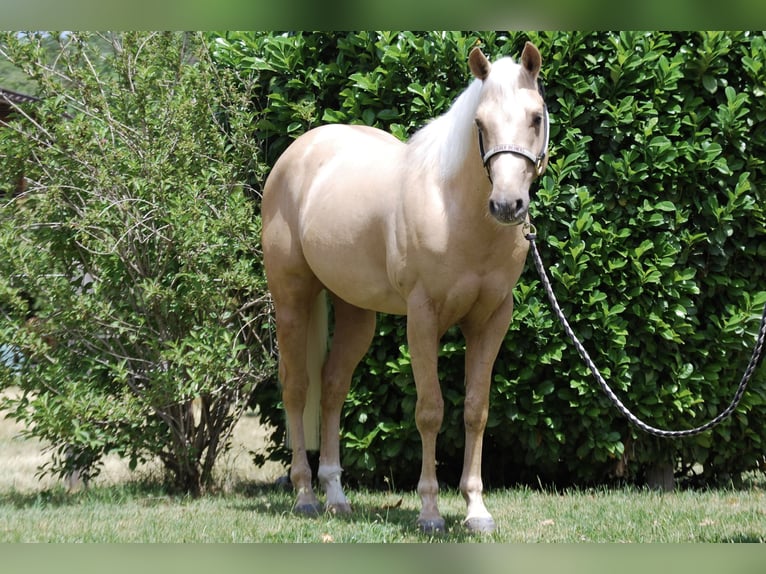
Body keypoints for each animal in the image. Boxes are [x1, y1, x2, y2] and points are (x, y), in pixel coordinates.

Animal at [261, 42, 549, 533]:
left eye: (535, 117)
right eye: (480, 124)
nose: (507, 205)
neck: (456, 212)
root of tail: (298, 153)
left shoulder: (491, 320)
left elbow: (476, 410)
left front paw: (476, 510)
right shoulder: (423, 317)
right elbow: (430, 411)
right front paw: (430, 512)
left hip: (355, 312)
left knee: (332, 387)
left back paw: (336, 496)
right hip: (292, 301)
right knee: (297, 388)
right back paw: (305, 495)